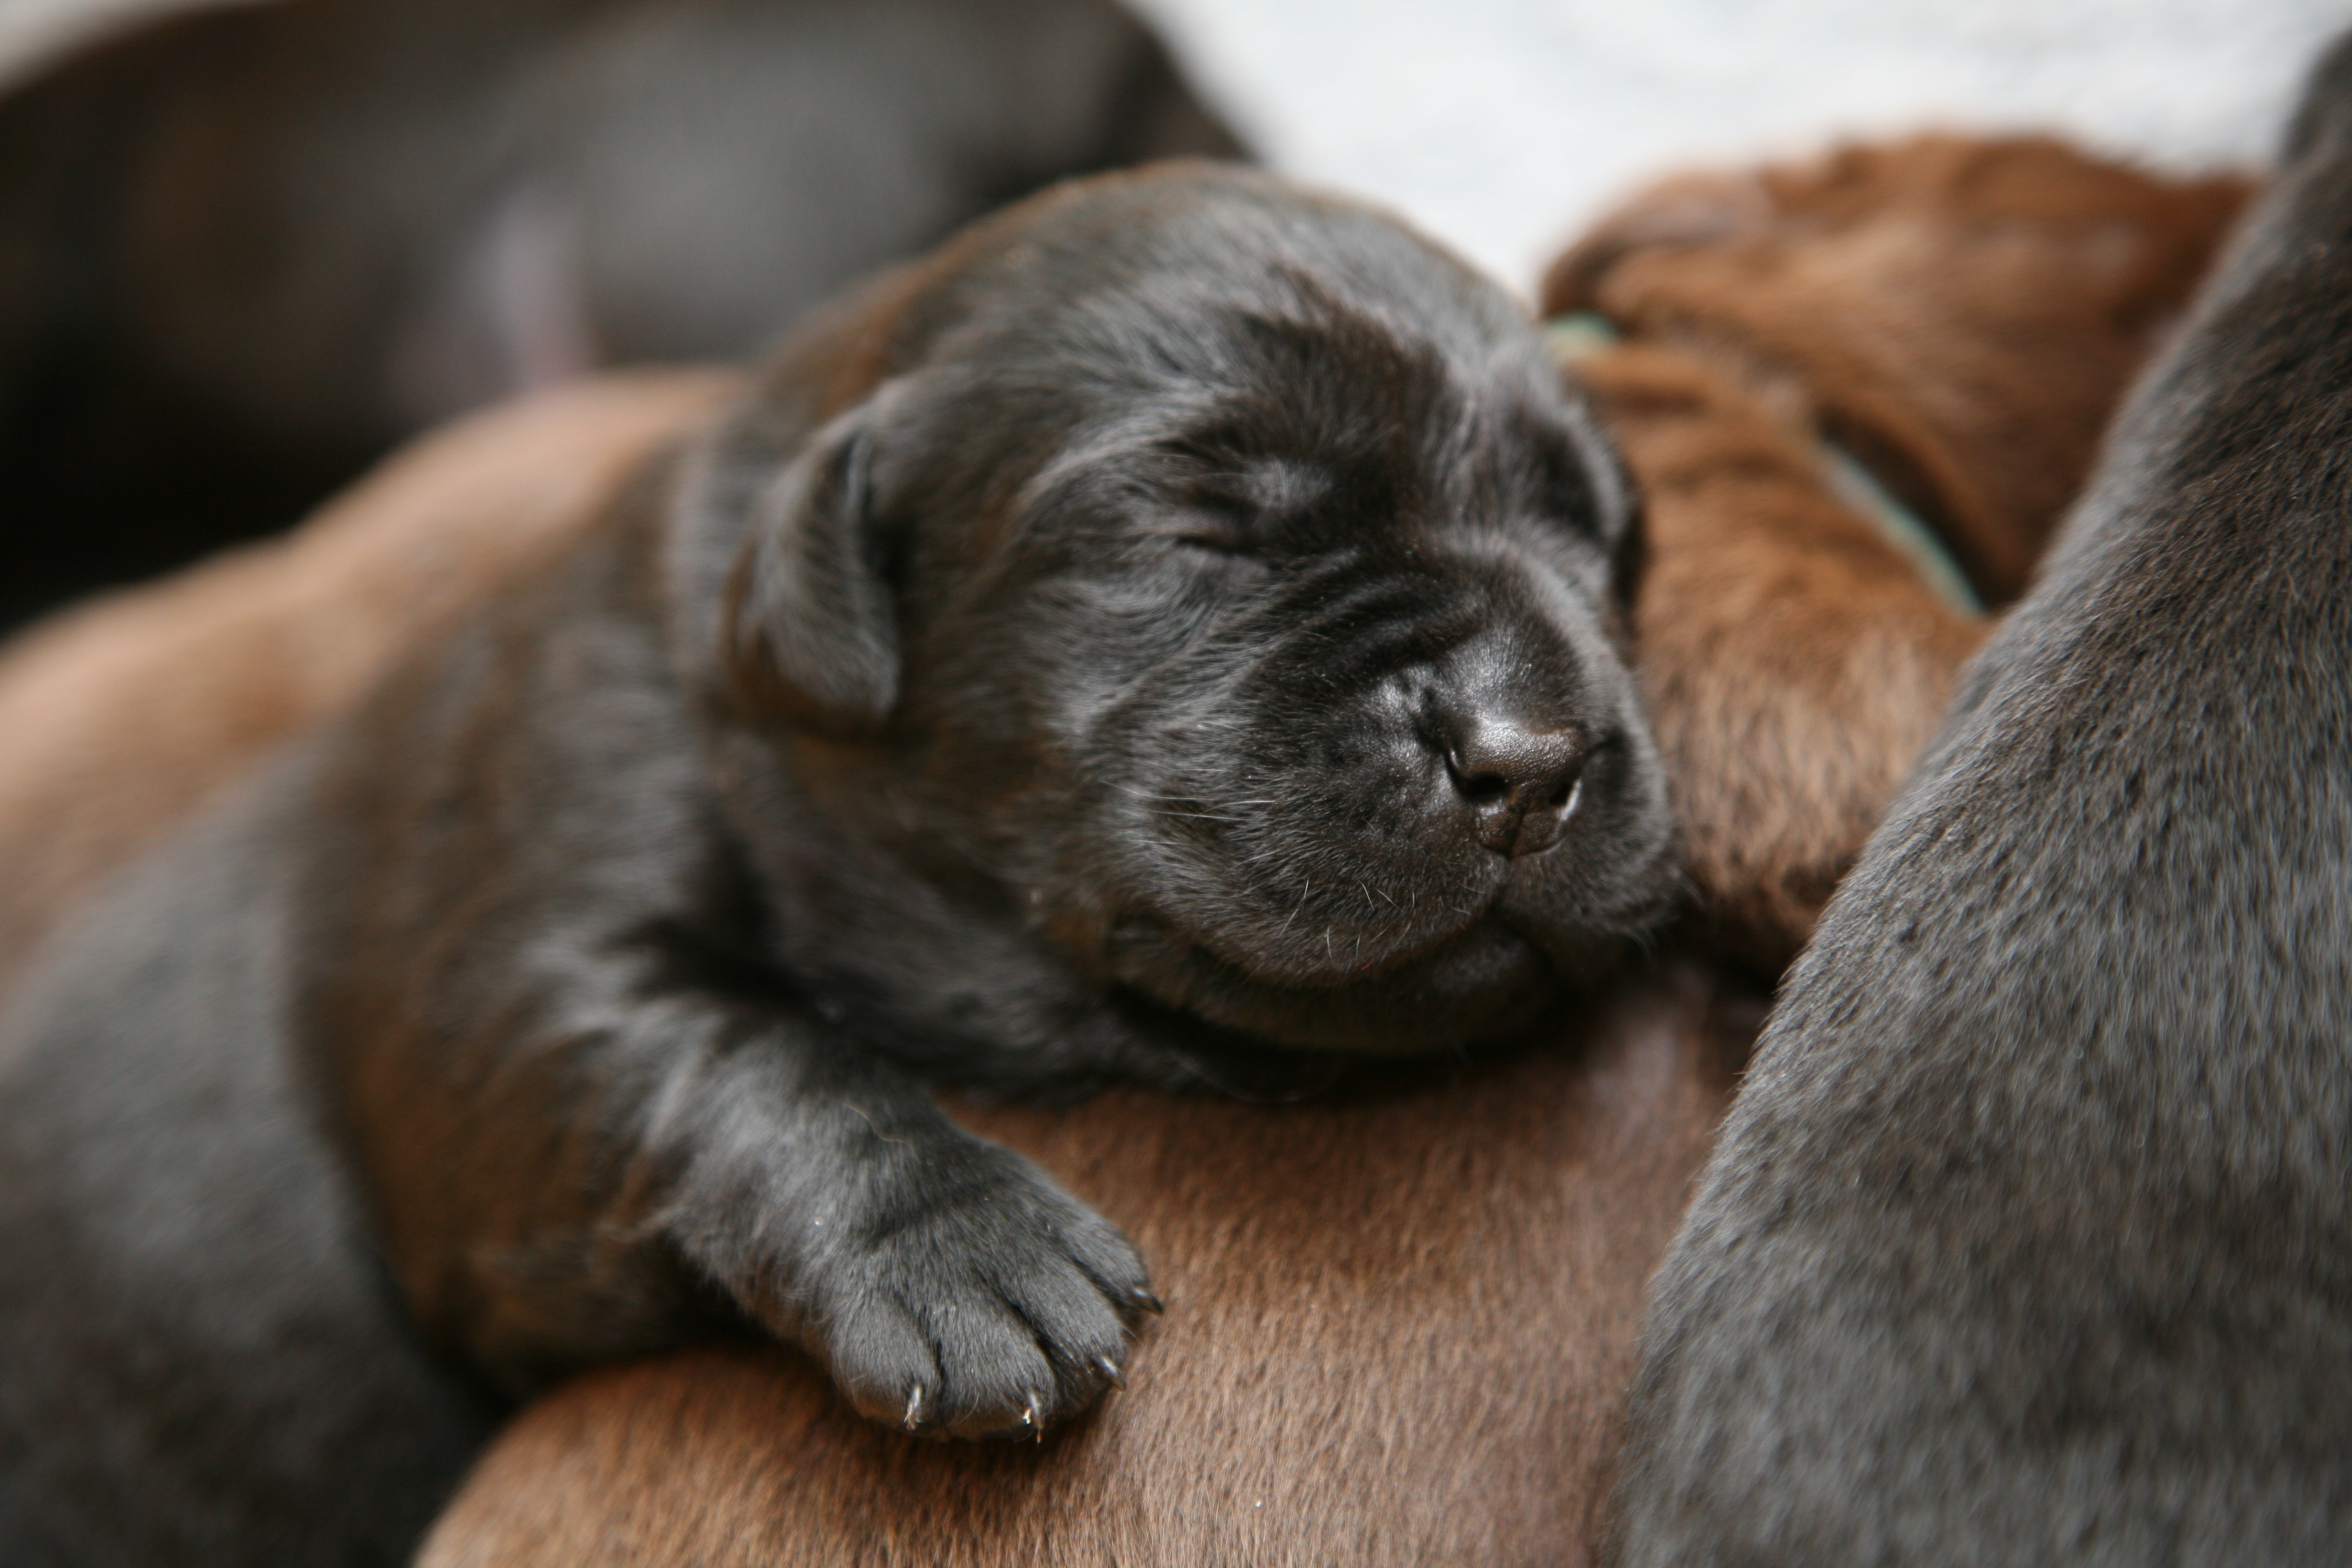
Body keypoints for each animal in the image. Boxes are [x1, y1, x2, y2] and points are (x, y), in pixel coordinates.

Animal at [0, 161, 1676, 1566]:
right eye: (1198, 531)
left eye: (1593, 537)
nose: (1530, 756)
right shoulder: (503, 931)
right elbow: (725, 1039)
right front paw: (958, 1248)